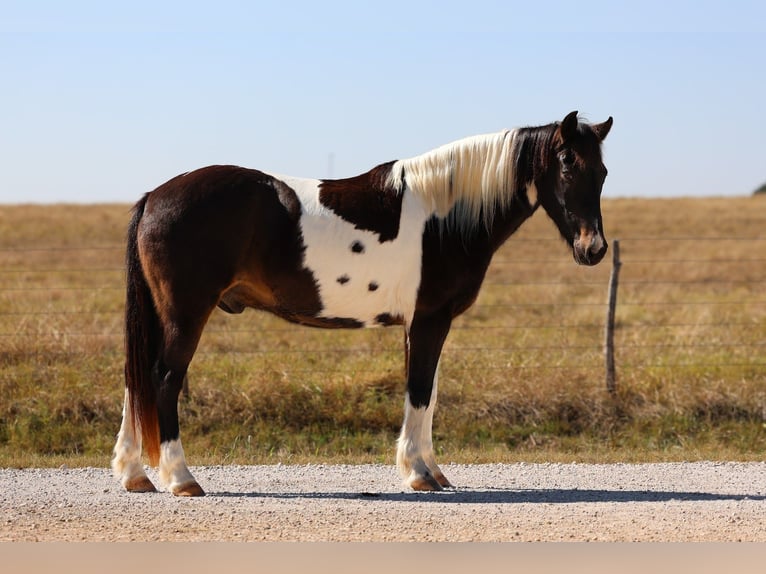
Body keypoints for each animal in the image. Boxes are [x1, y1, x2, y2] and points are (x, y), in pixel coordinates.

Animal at [112, 111, 613, 496]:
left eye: (603, 172)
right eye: (567, 164)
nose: (594, 249)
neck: (443, 216)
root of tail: (155, 197)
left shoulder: (422, 324)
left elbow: (429, 392)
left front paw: (433, 470)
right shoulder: (429, 320)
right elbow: (419, 391)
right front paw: (418, 473)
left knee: (136, 381)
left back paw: (135, 475)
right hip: (185, 313)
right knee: (163, 380)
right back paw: (181, 479)